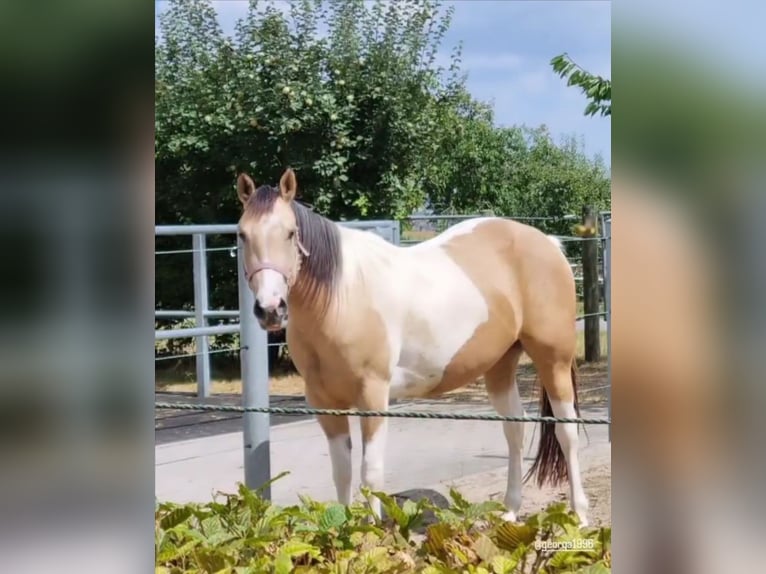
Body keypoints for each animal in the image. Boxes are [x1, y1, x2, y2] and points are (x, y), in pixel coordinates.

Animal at [235, 168, 589, 526]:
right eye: (242, 235)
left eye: (291, 233)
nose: (270, 309)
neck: (342, 296)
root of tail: (548, 243)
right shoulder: (324, 402)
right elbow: (342, 473)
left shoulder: (373, 395)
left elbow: (371, 473)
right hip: (500, 365)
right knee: (514, 429)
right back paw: (511, 511)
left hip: (554, 361)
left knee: (567, 432)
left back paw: (579, 515)